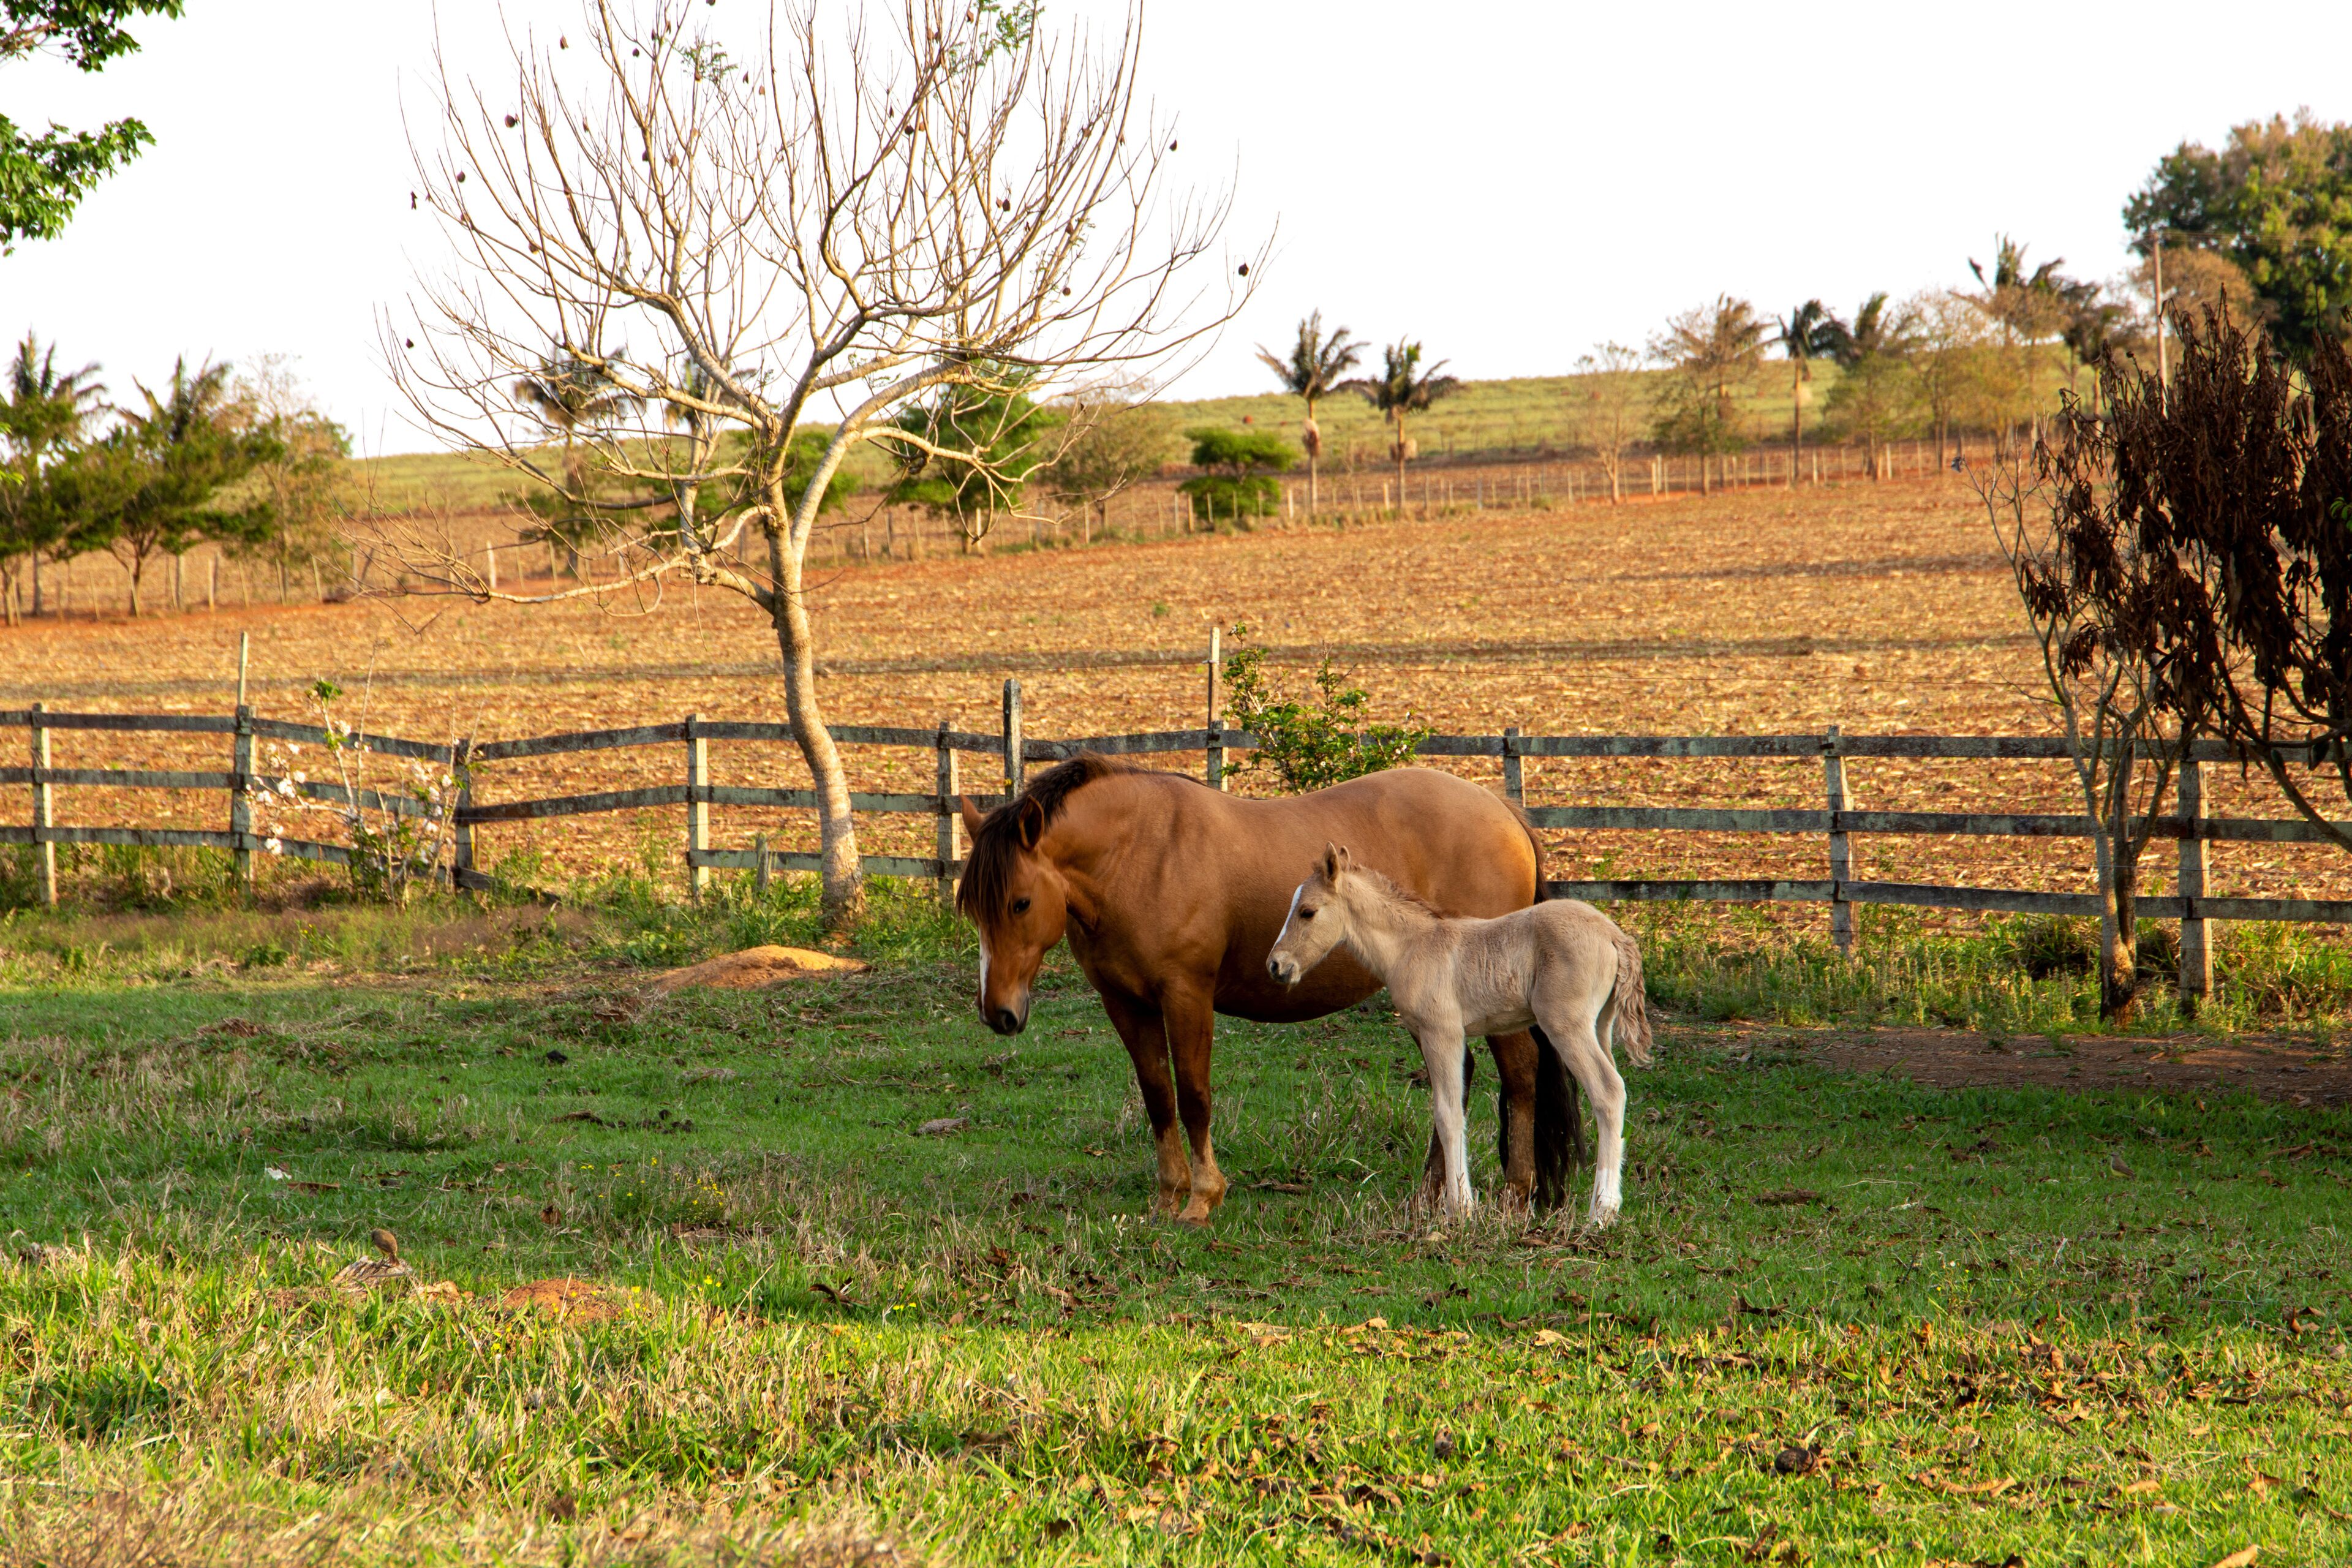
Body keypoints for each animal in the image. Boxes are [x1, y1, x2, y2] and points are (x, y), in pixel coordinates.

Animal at [956, 754, 1580, 1223]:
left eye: (1020, 902)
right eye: (973, 909)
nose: (999, 1013)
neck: (1142, 854)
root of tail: (1502, 810)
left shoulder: (1186, 996)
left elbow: (1194, 1094)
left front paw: (1202, 1199)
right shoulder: (1126, 1004)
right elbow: (1158, 1097)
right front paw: (1168, 1198)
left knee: (1520, 1074)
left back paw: (1516, 1193)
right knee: (1457, 1079)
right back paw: (1429, 1193)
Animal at [1265, 843, 1652, 1224]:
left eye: (1307, 912)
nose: (1276, 965)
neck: (1411, 947)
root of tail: (1616, 936)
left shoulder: (1442, 1033)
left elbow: (1448, 1114)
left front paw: (1461, 1208)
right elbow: (1454, 1110)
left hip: (1566, 1025)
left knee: (1608, 1091)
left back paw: (1601, 1211)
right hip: (1600, 1025)